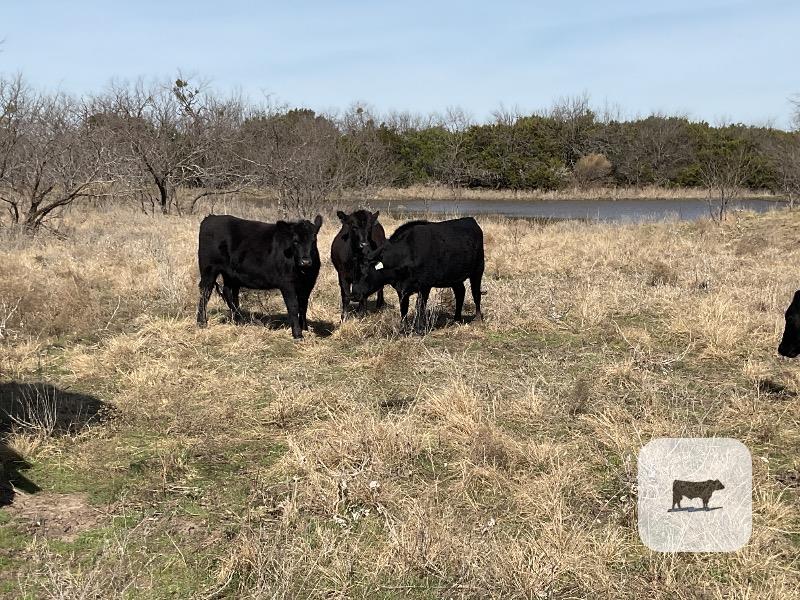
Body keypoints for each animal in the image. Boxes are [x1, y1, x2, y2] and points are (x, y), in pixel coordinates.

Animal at [351, 217, 484, 333]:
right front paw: (403, 328)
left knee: (476, 293)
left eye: (365, 273)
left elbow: (420, 307)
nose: (354, 295)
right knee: (460, 292)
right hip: (454, 278)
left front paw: (419, 328)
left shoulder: (425, 286)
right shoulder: (401, 288)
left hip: (478, 270)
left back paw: (478, 318)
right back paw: (456, 319)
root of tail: (470, 220)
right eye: (355, 273)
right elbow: (404, 308)